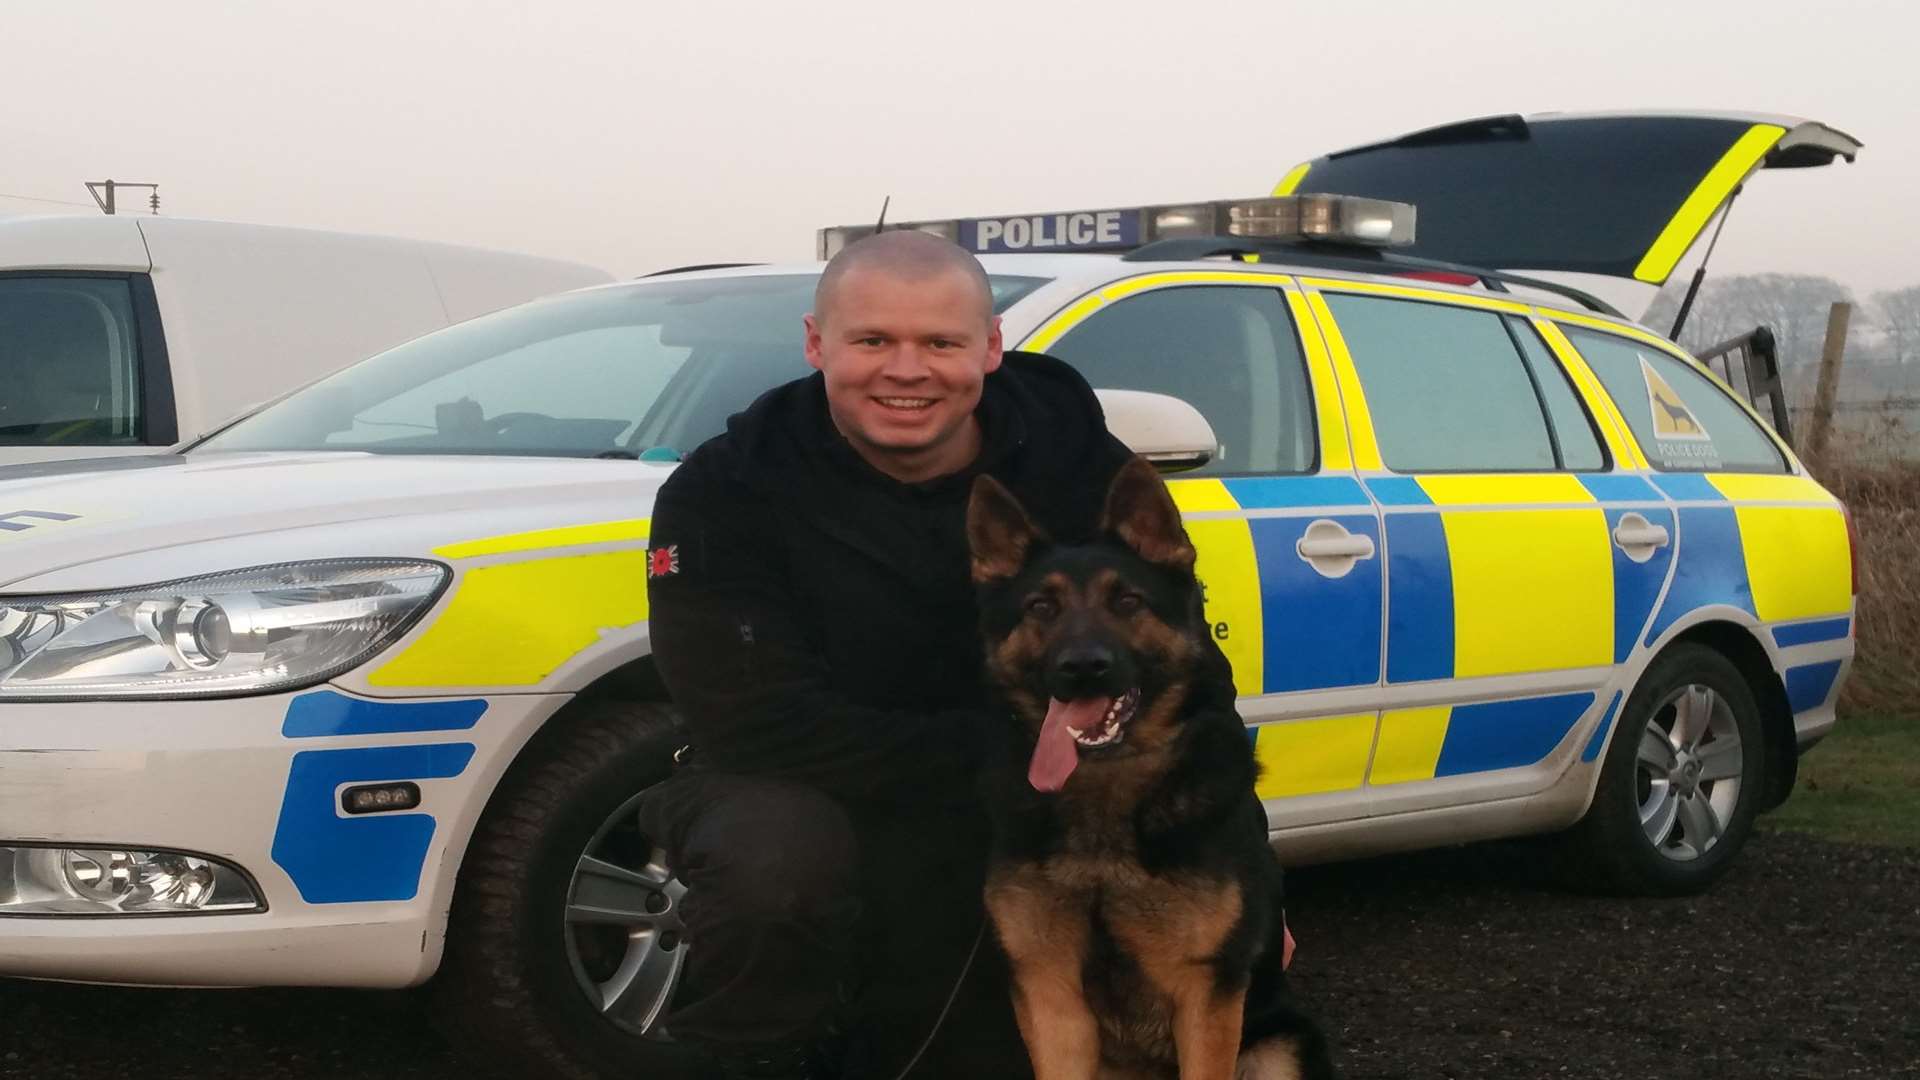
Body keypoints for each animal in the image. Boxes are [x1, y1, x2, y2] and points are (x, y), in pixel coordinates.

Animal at [960, 455, 1336, 1076]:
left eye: (1128, 602)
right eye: (1041, 608)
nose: (1082, 667)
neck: (1103, 791)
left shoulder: (1205, 996)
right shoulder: (1049, 994)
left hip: (1279, 1046)